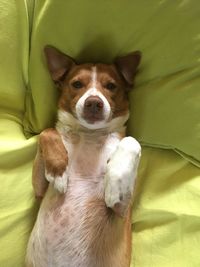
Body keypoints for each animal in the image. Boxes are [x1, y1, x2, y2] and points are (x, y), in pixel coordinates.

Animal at [25, 46, 141, 267]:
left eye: (111, 86)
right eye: (77, 84)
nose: (94, 102)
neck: (89, 134)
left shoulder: (121, 210)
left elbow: (132, 140)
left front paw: (115, 184)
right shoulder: (39, 190)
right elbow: (47, 131)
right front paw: (58, 169)